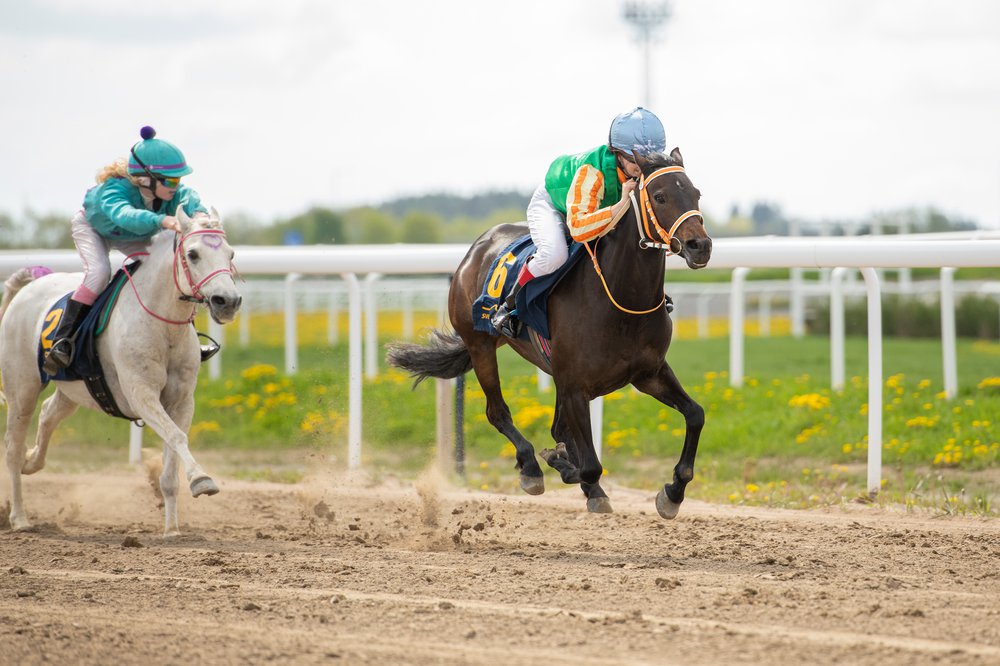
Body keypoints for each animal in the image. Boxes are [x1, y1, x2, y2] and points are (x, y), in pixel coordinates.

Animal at [0, 209, 242, 536]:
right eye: (192, 254)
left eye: (230, 254)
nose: (227, 302)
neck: (164, 327)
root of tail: (30, 286)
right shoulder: (141, 394)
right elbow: (177, 436)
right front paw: (202, 480)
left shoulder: (181, 401)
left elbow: (171, 459)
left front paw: (172, 529)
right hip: (22, 387)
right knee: (13, 445)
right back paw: (20, 518)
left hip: (73, 389)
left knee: (49, 413)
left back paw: (32, 461)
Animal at [388, 148, 712, 516]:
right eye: (659, 196)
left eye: (696, 193)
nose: (700, 245)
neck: (622, 300)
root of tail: (477, 248)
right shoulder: (574, 384)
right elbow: (589, 465)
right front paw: (572, 471)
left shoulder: (648, 373)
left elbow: (695, 415)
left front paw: (672, 492)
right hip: (480, 345)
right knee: (497, 412)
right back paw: (530, 466)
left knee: (556, 426)